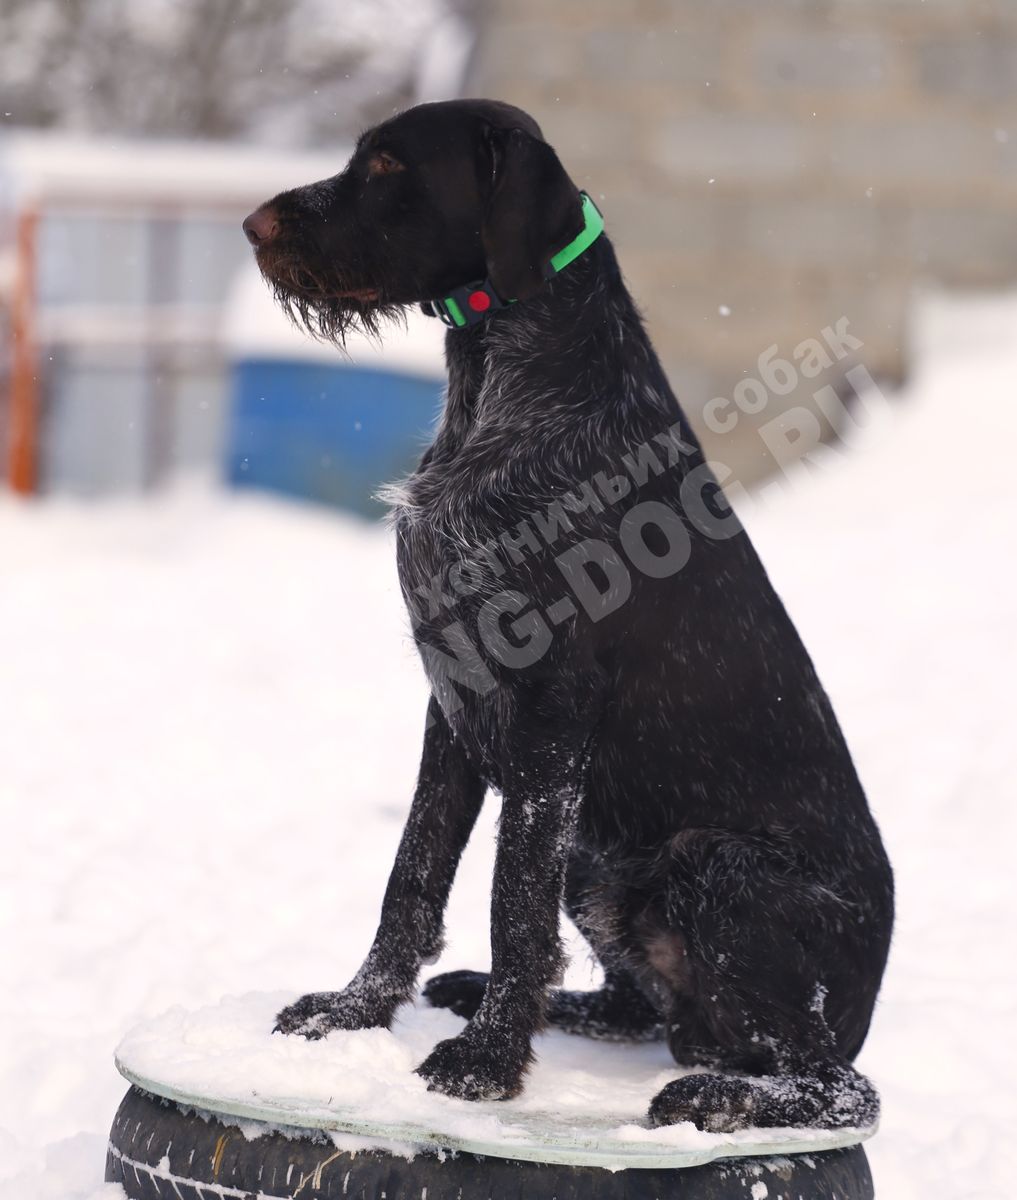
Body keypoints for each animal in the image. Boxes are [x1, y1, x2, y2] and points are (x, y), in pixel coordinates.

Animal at [243, 99, 894, 1132]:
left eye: (387, 164)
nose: (252, 224)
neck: (506, 384)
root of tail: (867, 1001)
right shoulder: (453, 701)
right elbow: (412, 875)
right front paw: (355, 1012)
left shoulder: (551, 716)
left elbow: (512, 904)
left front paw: (485, 1064)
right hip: (603, 858)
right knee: (643, 1009)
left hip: (706, 861)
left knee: (836, 1087)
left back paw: (713, 1094)